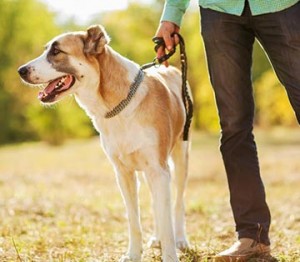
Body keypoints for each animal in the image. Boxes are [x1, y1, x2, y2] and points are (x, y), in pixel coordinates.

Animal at [18, 24, 192, 260]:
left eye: (56, 51)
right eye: (46, 50)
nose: (21, 70)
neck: (119, 105)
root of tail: (171, 69)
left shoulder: (159, 170)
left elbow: (167, 222)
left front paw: (170, 254)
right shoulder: (124, 174)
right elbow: (134, 220)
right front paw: (133, 255)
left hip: (180, 158)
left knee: (177, 203)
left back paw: (181, 239)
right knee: (157, 206)